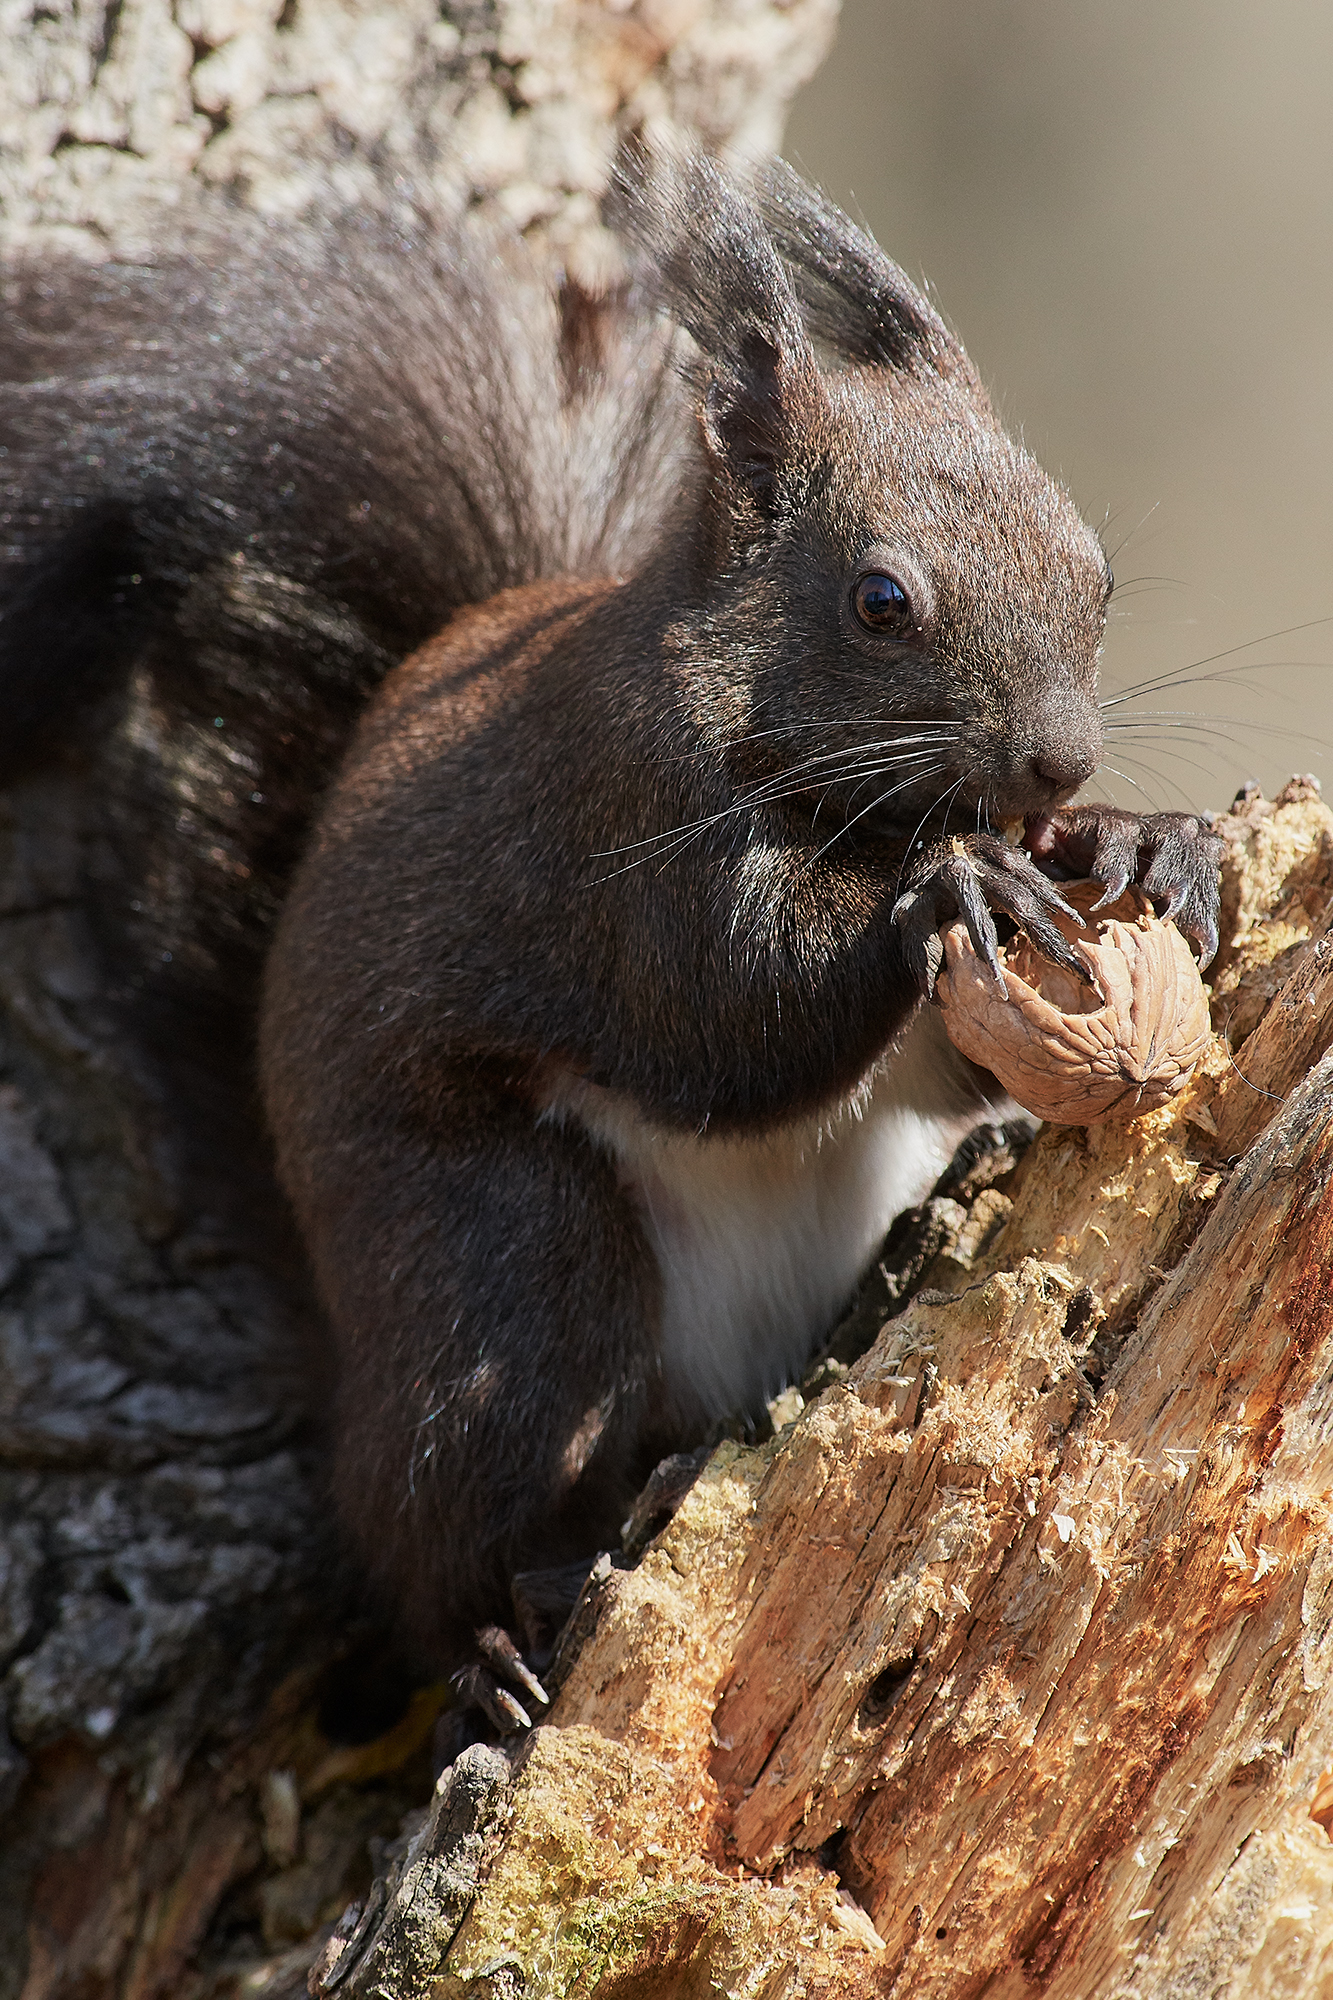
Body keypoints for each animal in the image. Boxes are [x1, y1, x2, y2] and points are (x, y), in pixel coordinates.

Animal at [0, 155, 1222, 1727]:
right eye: (880, 602)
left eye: (1096, 572)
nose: (1059, 763)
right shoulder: (615, 836)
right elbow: (730, 1019)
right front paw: (949, 894)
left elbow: (958, 1062)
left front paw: (1145, 844)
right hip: (509, 1261)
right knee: (431, 1510)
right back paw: (495, 1645)